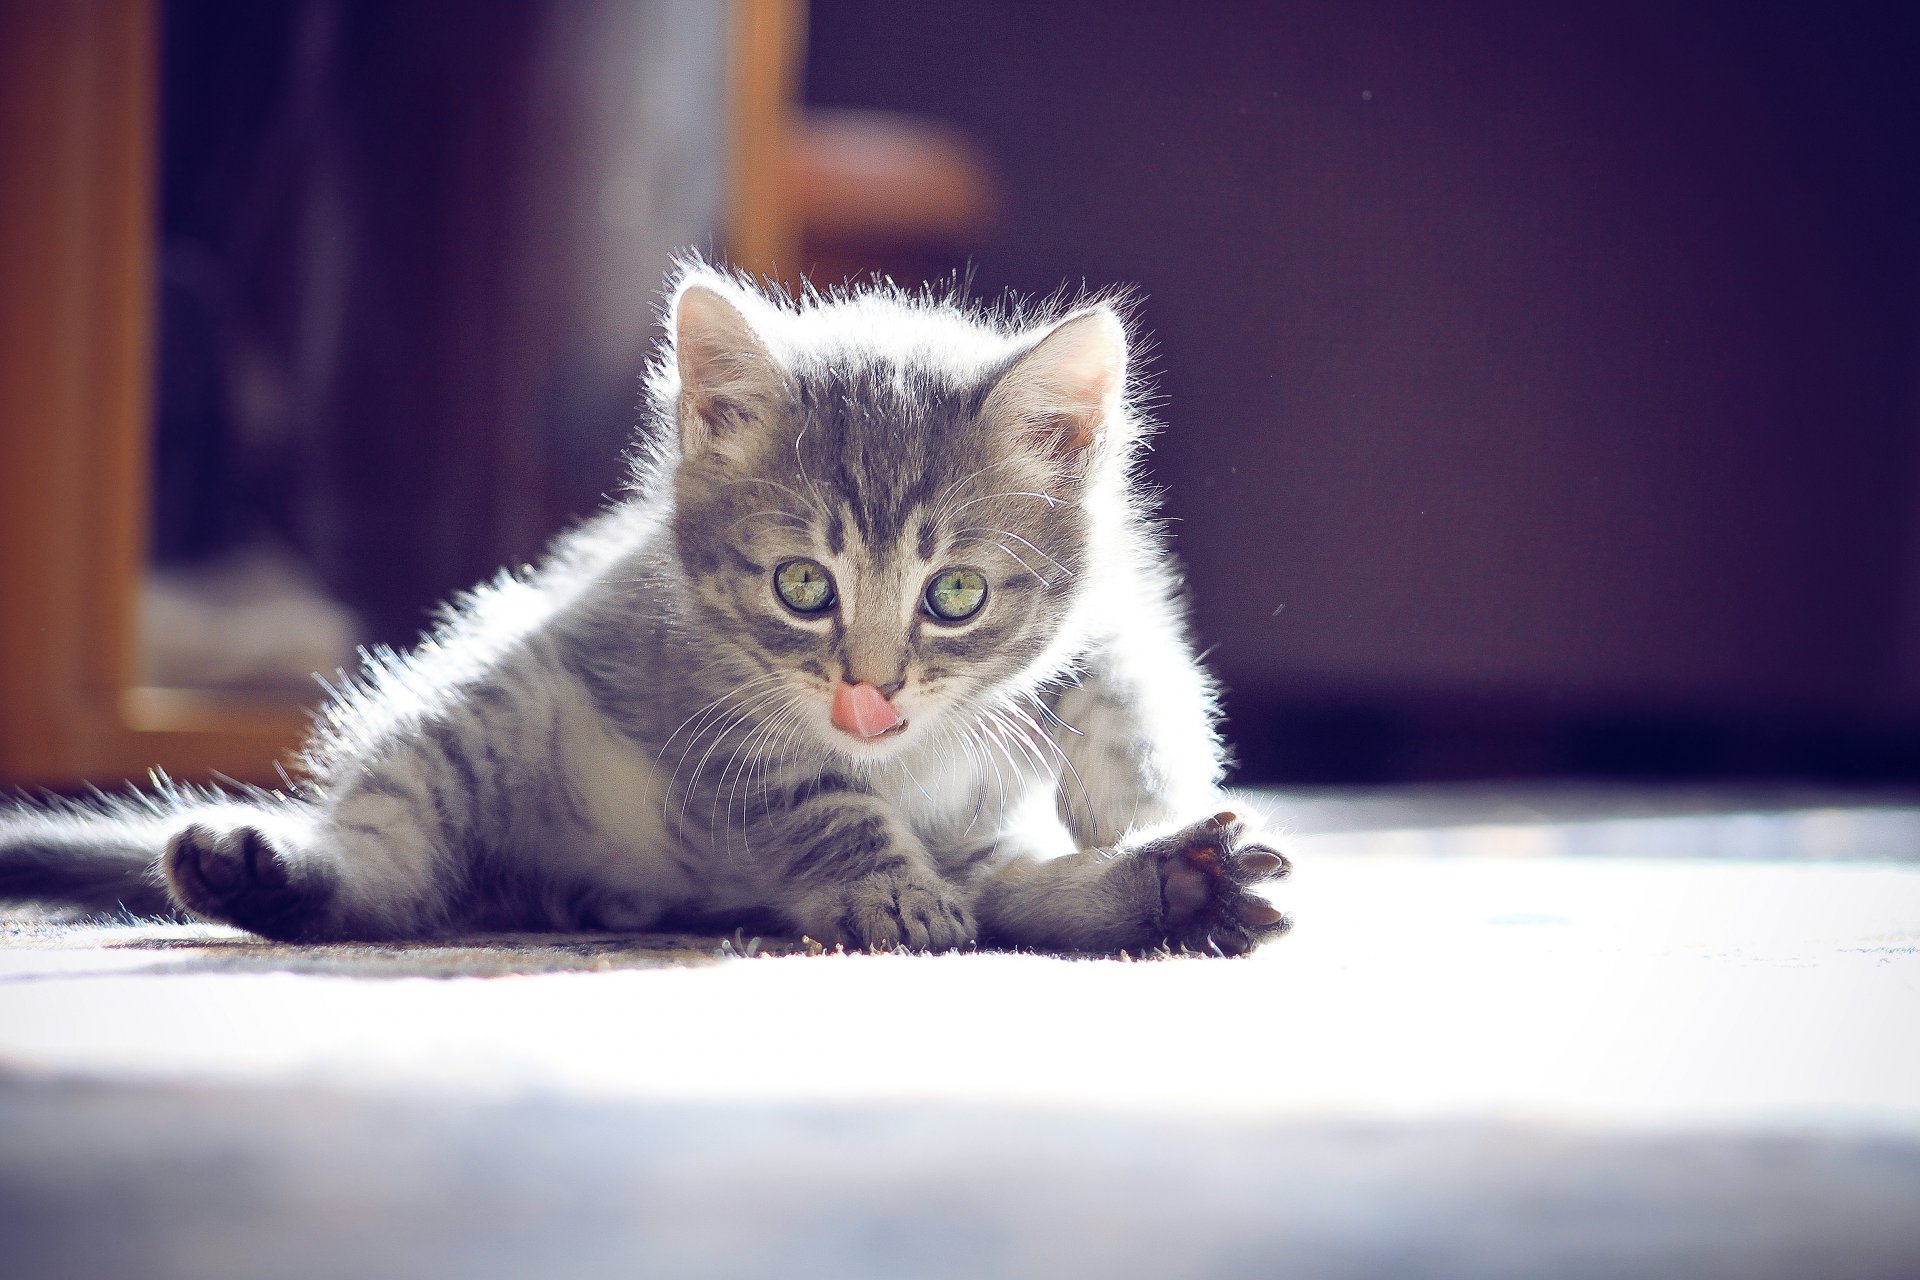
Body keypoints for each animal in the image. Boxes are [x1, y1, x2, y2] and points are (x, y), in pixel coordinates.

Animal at [0, 264, 1297, 955]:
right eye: (803, 585)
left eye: (957, 593)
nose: (869, 694)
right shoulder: (694, 709)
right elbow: (817, 802)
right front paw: (885, 879)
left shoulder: (1113, 597)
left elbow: (1129, 671)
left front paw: (1139, 803)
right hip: (480, 708)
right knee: (394, 873)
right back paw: (257, 870)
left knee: (1007, 893)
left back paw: (1169, 883)